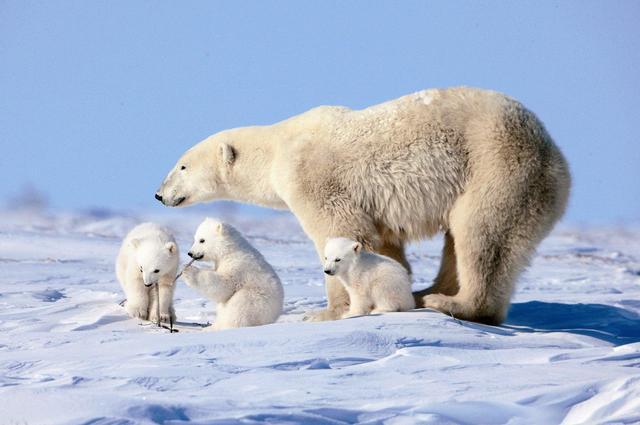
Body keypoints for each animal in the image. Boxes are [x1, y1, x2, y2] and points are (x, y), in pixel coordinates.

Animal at [156, 87, 568, 324]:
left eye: (182, 165)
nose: (159, 194)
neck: (276, 149)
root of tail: (554, 153)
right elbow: (384, 246)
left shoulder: (312, 177)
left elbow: (340, 231)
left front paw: (326, 312)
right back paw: (427, 293)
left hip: (499, 167)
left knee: (480, 232)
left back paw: (449, 302)